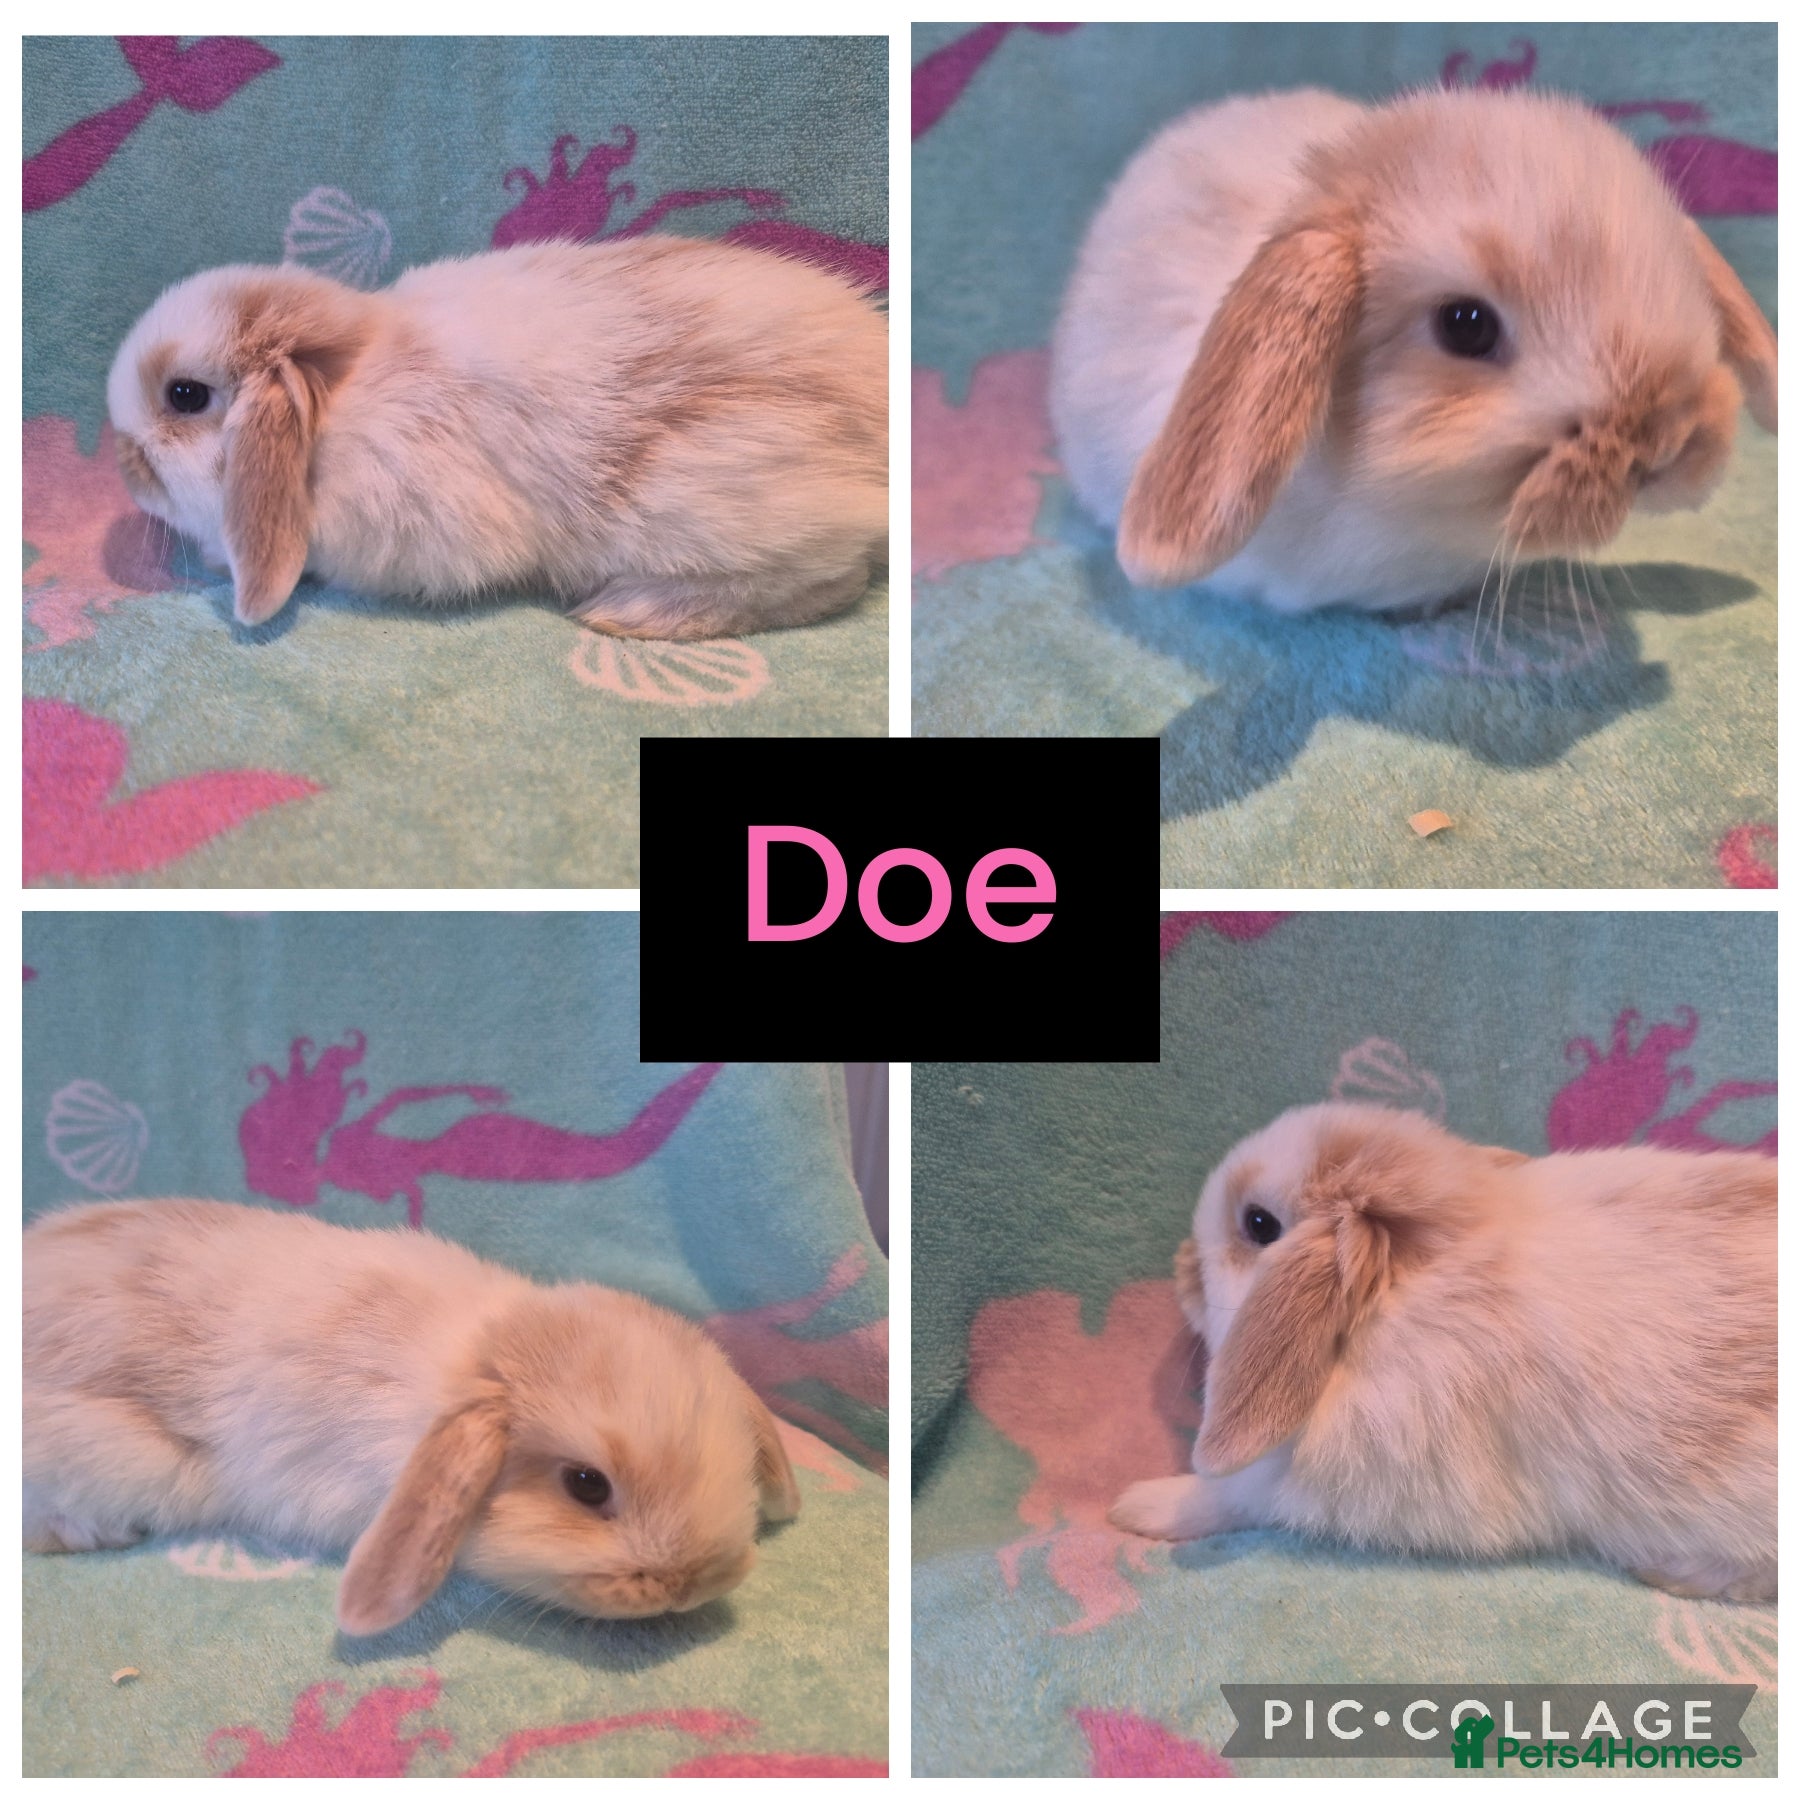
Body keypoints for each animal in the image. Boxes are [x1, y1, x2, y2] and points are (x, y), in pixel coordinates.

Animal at [1109, 1102, 1775, 1602]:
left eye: (1258, 1224)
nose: (1180, 1267)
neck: (1403, 1289)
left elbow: (1228, 1497)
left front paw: (1136, 1506)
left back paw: (1670, 1573)